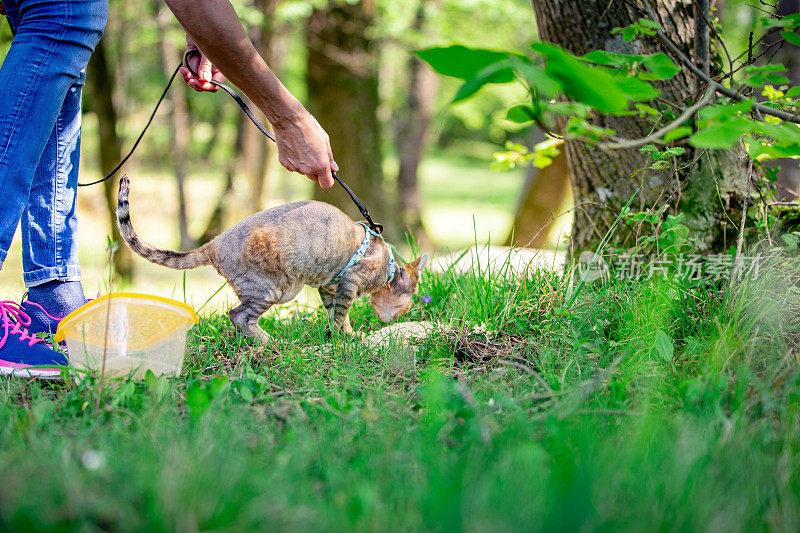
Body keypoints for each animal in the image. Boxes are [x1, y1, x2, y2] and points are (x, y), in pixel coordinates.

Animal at [115, 175, 428, 340]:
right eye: (412, 297)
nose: (406, 313)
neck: (387, 265)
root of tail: (214, 244)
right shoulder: (349, 283)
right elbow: (342, 315)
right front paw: (348, 337)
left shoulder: (329, 287)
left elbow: (333, 313)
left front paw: (337, 333)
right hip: (272, 290)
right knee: (237, 315)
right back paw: (266, 341)